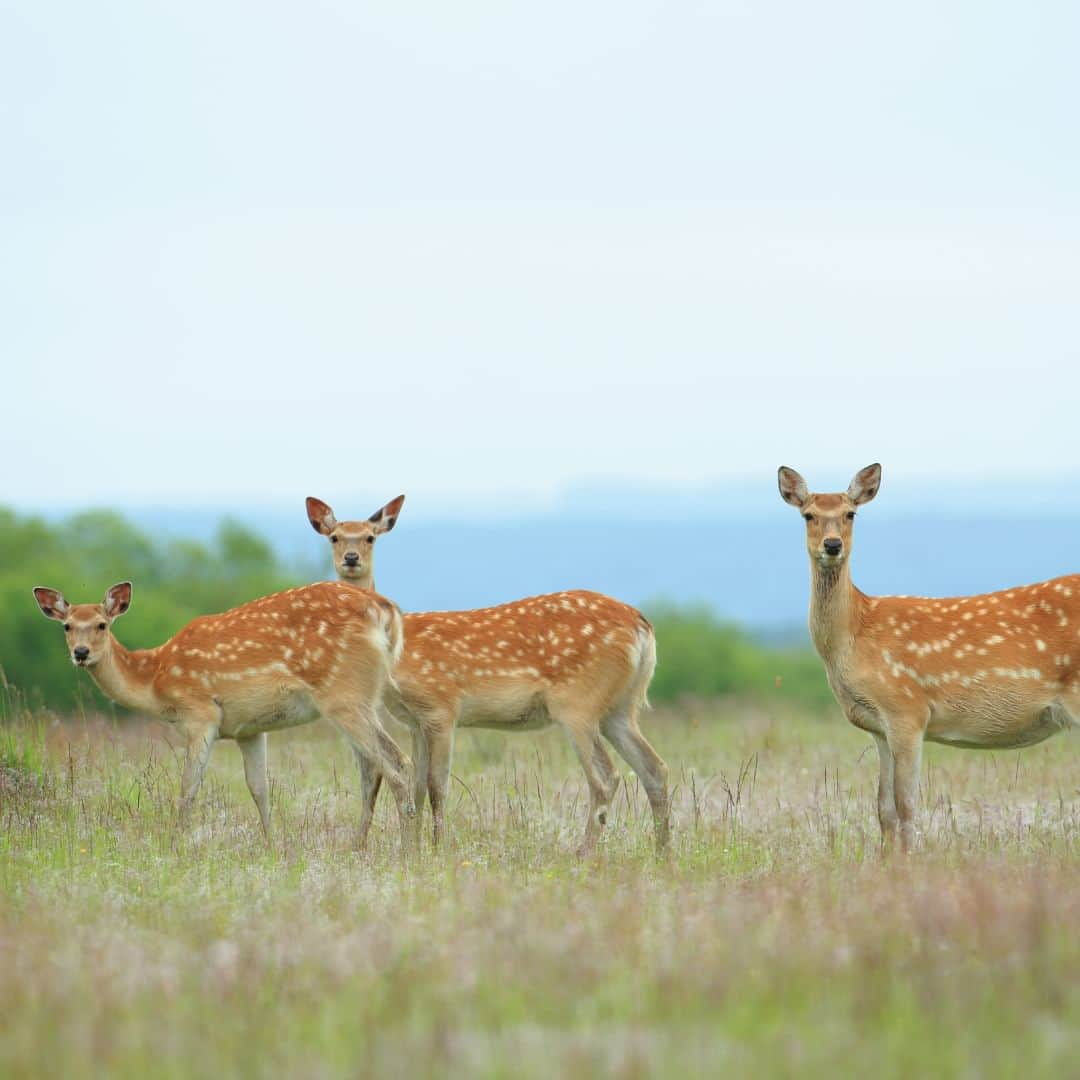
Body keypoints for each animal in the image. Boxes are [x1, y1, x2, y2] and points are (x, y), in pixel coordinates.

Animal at [32, 578, 412, 846]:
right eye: (67, 626)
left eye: (101, 624)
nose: (81, 653)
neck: (156, 679)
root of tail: (385, 610)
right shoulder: (249, 729)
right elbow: (259, 789)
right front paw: (272, 846)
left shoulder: (200, 714)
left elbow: (188, 787)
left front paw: (175, 846)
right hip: (362, 697)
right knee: (374, 767)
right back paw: (362, 845)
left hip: (343, 693)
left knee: (394, 763)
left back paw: (409, 848)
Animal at [304, 494, 669, 855]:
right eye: (334, 537)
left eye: (370, 537)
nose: (351, 558)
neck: (396, 653)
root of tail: (643, 626)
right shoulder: (415, 721)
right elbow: (418, 784)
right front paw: (418, 848)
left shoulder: (441, 707)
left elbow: (437, 785)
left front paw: (437, 849)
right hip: (620, 707)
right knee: (655, 768)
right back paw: (662, 853)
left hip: (578, 703)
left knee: (606, 777)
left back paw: (585, 854)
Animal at [781, 464, 1075, 851]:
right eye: (808, 515)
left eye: (850, 513)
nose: (832, 545)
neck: (856, 632)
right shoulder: (878, 727)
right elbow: (884, 810)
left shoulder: (907, 710)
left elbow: (906, 807)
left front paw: (909, 862)